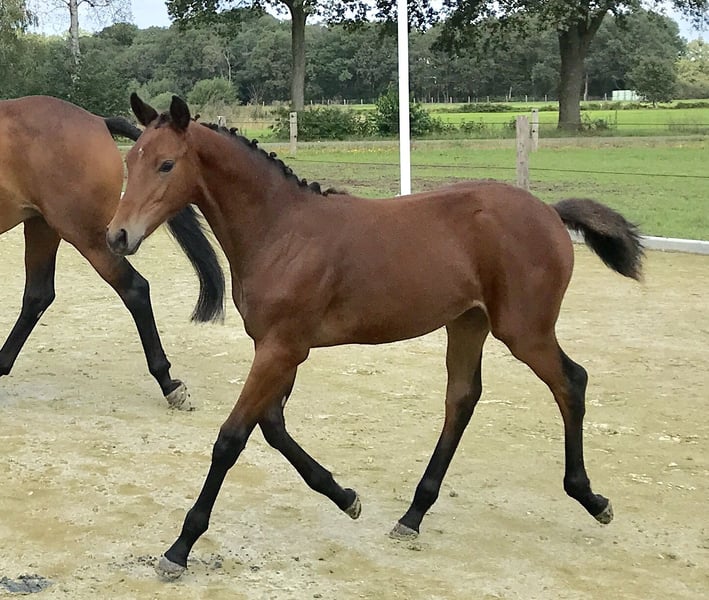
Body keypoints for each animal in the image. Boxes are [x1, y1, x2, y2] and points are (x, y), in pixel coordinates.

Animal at [0, 95, 224, 409]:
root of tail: (97, 121)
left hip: (89, 234)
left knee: (134, 288)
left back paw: (168, 383)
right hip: (42, 225)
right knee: (37, 296)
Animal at [106, 94, 644, 579]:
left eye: (166, 164)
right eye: (129, 160)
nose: (117, 236)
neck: (281, 231)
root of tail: (550, 213)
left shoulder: (281, 348)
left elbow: (232, 438)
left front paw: (179, 548)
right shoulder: (281, 350)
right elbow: (274, 428)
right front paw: (345, 497)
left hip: (524, 330)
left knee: (571, 382)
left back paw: (591, 498)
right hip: (468, 323)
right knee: (462, 398)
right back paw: (414, 514)